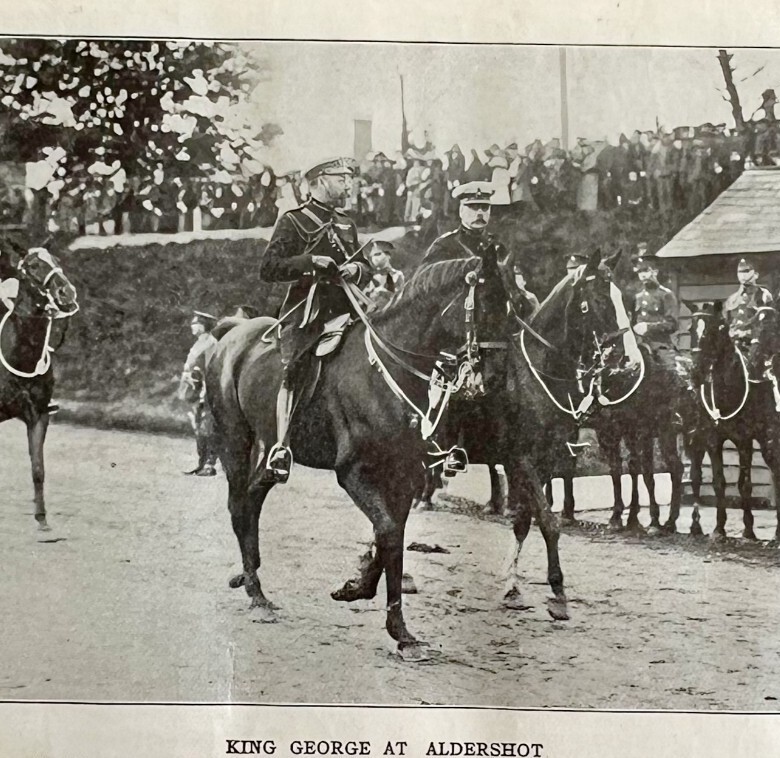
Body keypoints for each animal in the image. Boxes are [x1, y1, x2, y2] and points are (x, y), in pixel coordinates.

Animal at [0, 244, 79, 530]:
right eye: (33, 266)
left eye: (56, 260)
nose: (66, 292)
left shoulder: (38, 415)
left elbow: (38, 468)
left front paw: (42, 518)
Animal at [206, 257, 506, 659]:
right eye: (488, 307)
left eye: (512, 307)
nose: (497, 378)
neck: (387, 373)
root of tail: (233, 333)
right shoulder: (353, 473)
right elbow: (389, 533)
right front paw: (394, 625)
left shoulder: (404, 474)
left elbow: (390, 532)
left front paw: (364, 595)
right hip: (236, 440)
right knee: (239, 505)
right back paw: (257, 596)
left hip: (269, 450)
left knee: (252, 499)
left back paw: (249, 578)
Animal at [690, 300, 780, 541]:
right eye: (692, 330)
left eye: (714, 330)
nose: (696, 373)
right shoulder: (713, 440)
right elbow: (719, 482)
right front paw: (719, 528)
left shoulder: (744, 441)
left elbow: (745, 484)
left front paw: (748, 530)